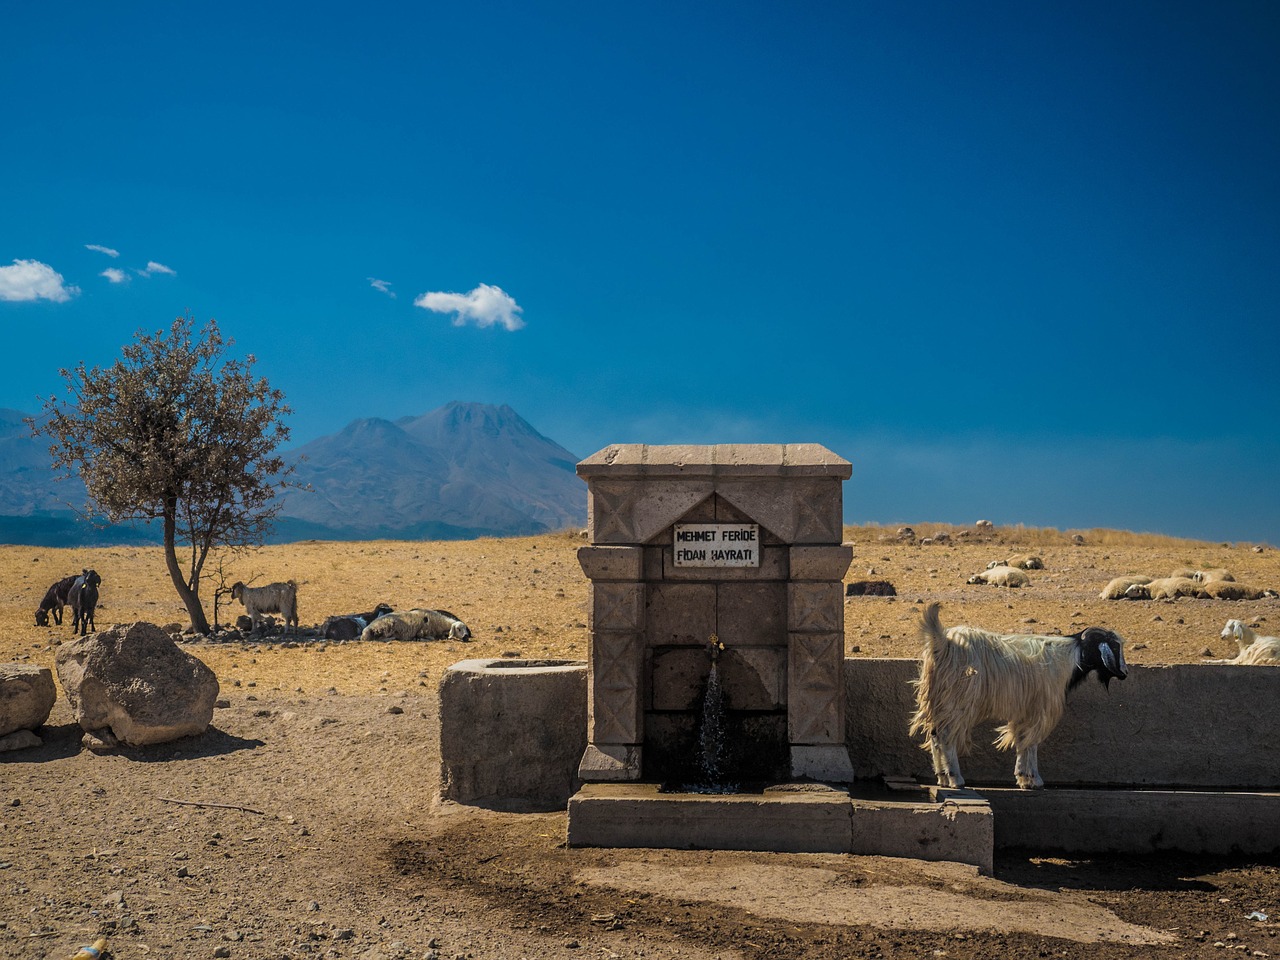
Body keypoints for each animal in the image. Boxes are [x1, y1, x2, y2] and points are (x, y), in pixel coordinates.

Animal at [906, 604, 1126, 793]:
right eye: (1115, 648)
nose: (1125, 673)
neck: (1070, 658)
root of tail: (942, 641)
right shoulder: (1041, 709)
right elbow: (1032, 742)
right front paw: (1035, 779)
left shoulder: (1026, 711)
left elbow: (1022, 741)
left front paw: (1023, 777)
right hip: (957, 700)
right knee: (946, 736)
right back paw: (955, 778)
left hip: (938, 698)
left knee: (935, 736)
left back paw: (942, 777)